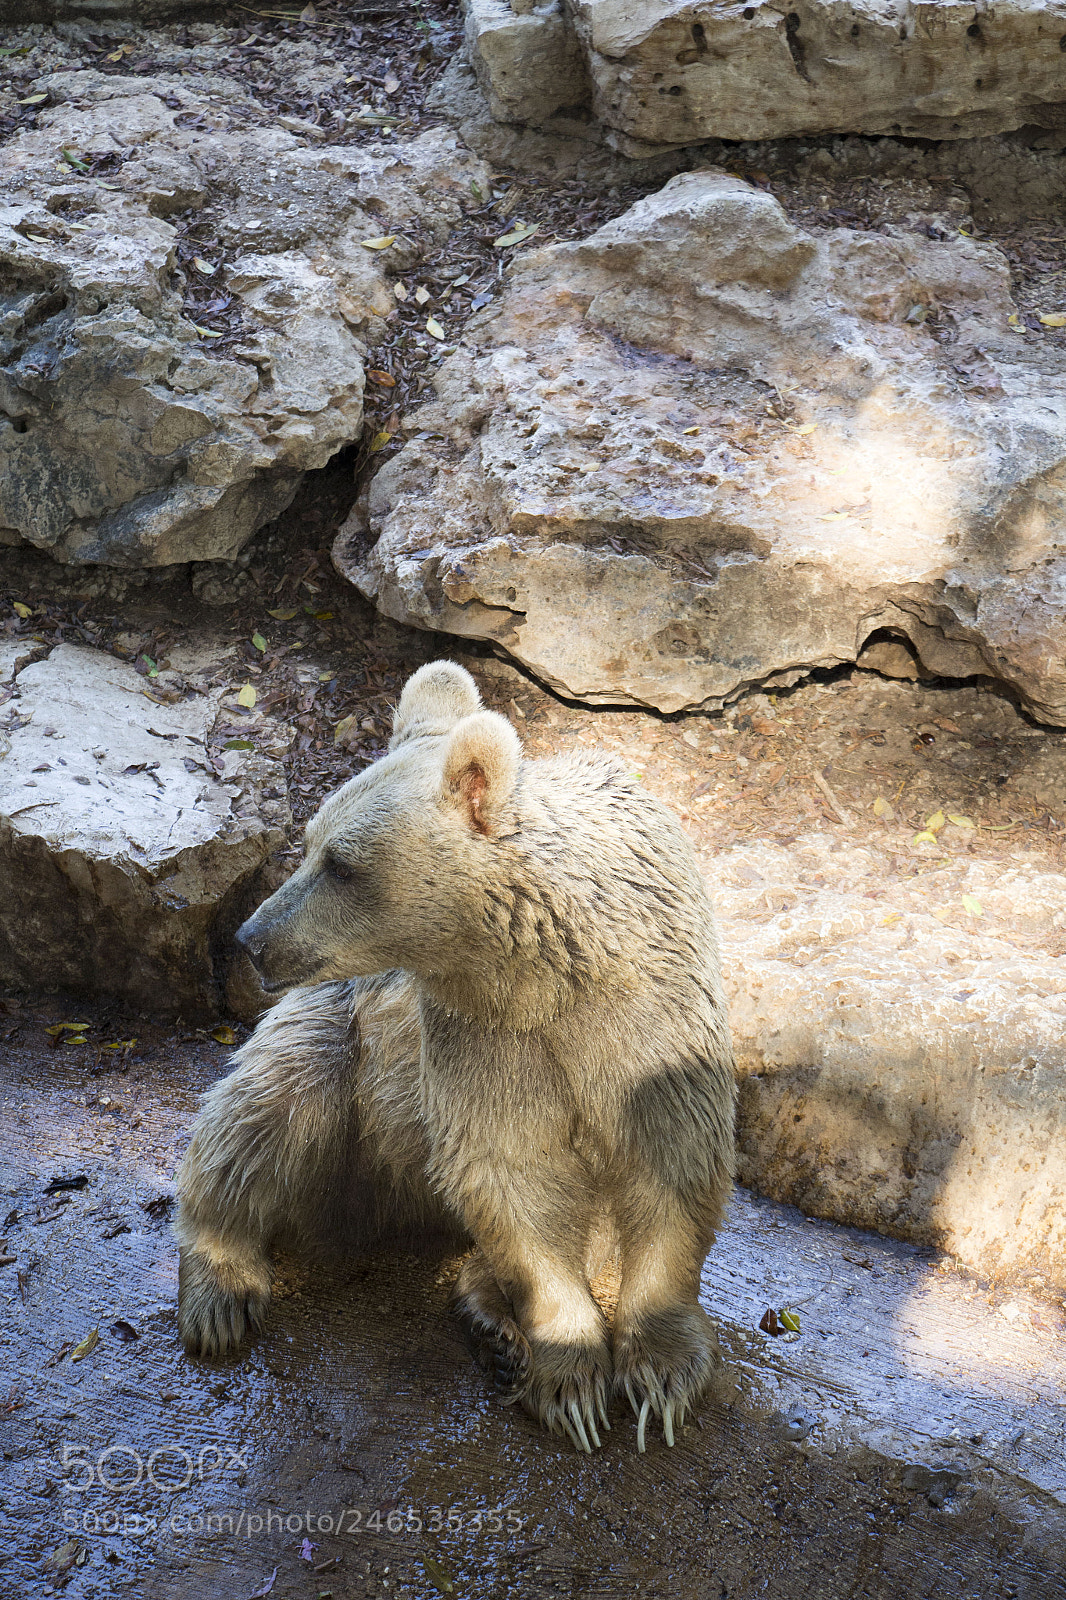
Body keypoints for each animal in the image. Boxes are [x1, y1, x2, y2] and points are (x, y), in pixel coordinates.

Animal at [174, 660, 736, 1452]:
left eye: (340, 863)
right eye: (307, 839)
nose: (251, 939)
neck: (548, 970)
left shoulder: (645, 1011)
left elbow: (668, 1152)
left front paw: (660, 1372)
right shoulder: (479, 1035)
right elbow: (511, 1169)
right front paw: (571, 1378)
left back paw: (488, 1315)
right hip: (346, 1043)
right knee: (266, 1109)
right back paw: (221, 1291)